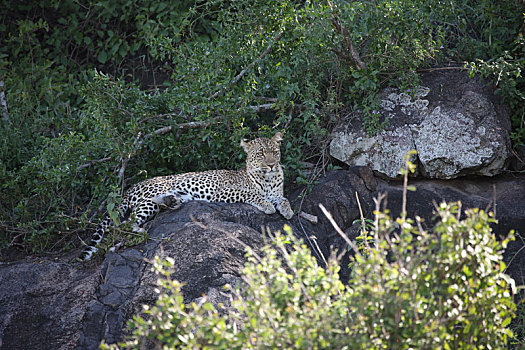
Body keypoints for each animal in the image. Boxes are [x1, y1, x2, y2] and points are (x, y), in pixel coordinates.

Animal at [82, 131, 294, 260]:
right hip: (151, 195)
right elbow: (250, 194)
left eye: (275, 152)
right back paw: (141, 231)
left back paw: (173, 201)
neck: (268, 178)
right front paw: (267, 205)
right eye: (261, 154)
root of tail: (131, 187)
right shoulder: (224, 192)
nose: (272, 164)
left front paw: (288, 211)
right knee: (122, 225)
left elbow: (283, 198)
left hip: (152, 204)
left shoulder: (277, 192)